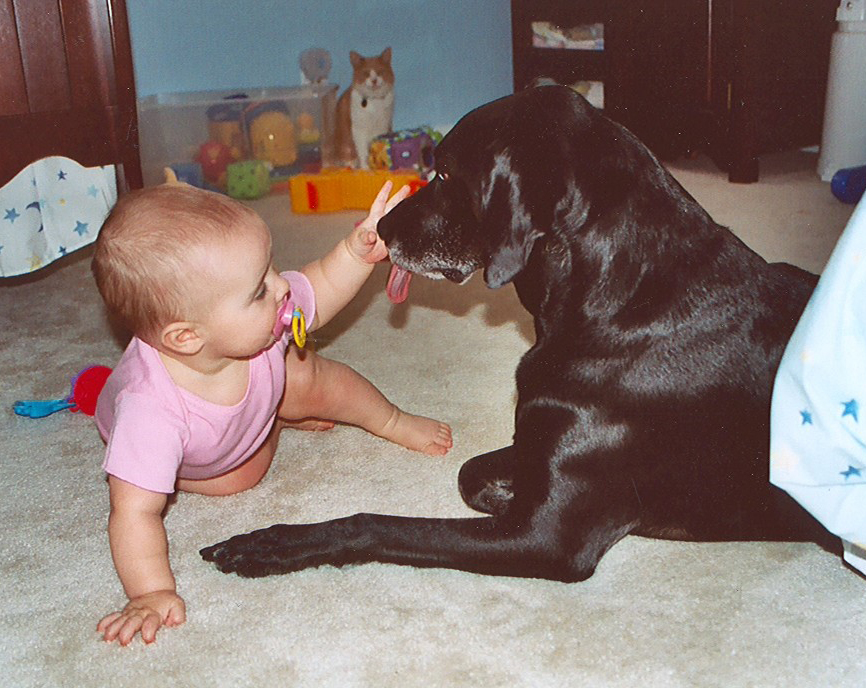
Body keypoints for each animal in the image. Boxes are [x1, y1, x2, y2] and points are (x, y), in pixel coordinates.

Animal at [202, 84, 832, 580]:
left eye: (445, 171)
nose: (381, 230)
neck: (618, 304)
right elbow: (470, 471)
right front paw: (500, 490)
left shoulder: (548, 538)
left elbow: (378, 524)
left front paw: (273, 544)